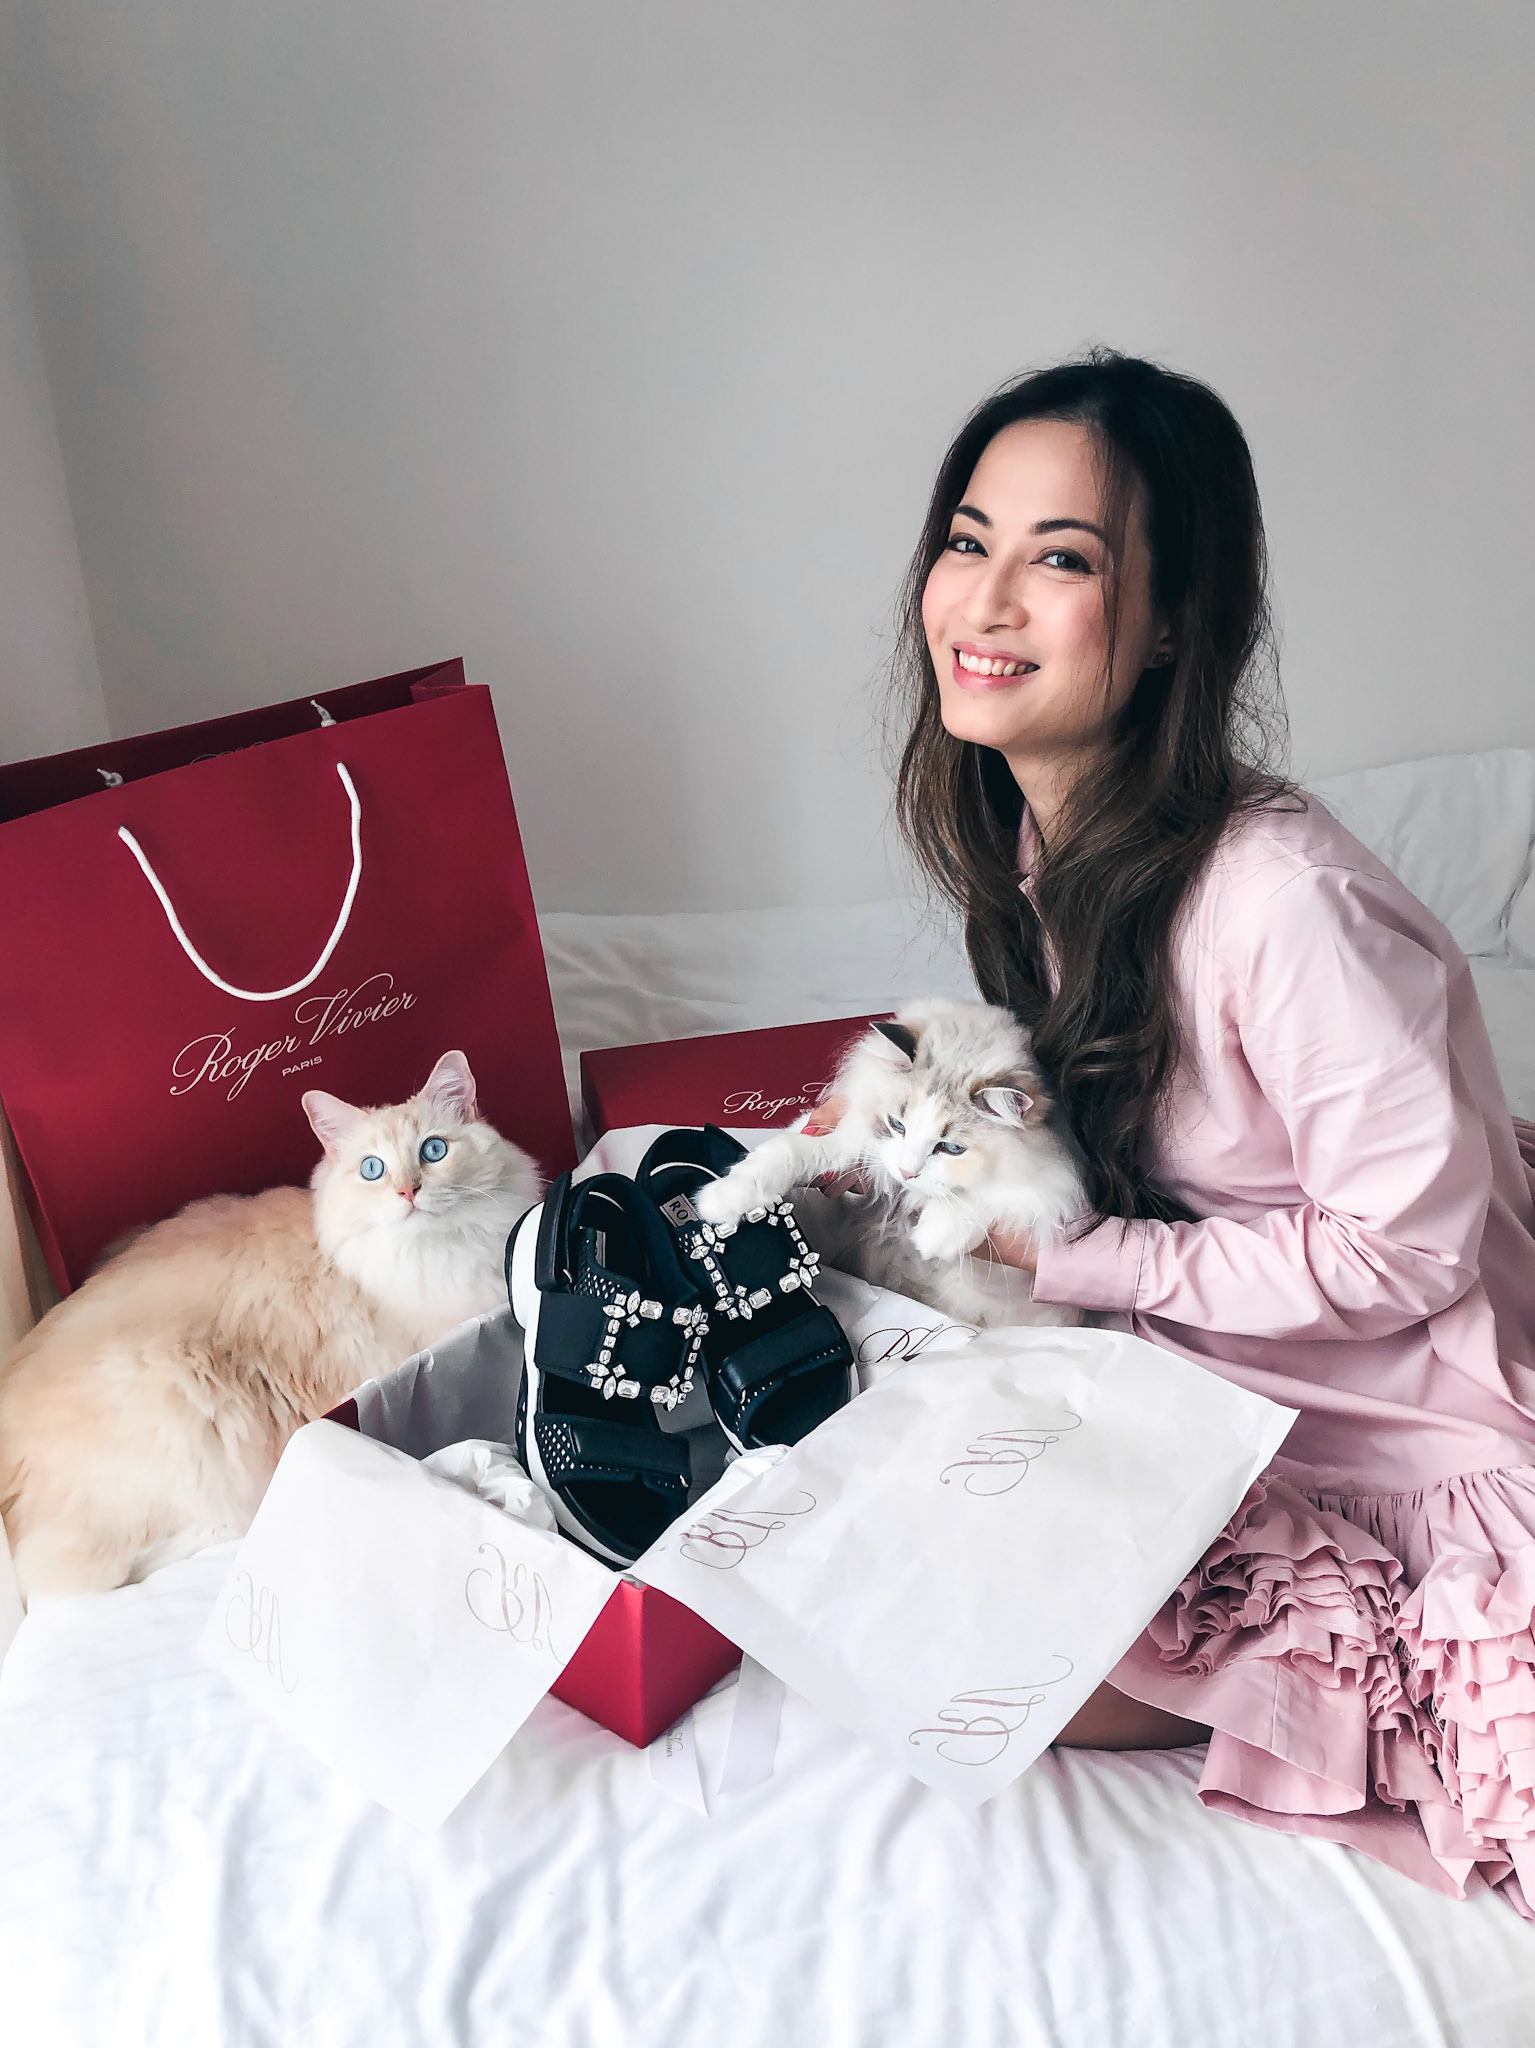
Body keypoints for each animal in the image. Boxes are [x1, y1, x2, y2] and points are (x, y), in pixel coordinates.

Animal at [0, 1050, 541, 1598]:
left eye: (433, 1151)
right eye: (372, 1170)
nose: (409, 1191)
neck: (435, 1253)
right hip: (189, 1402)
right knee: (77, 1575)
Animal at [695, 999, 1088, 1329]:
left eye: (950, 1148)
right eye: (897, 1125)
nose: (906, 1173)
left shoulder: (1039, 1215)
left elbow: (994, 1199)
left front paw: (931, 1236)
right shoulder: (852, 1151)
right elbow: (788, 1150)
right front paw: (718, 1201)